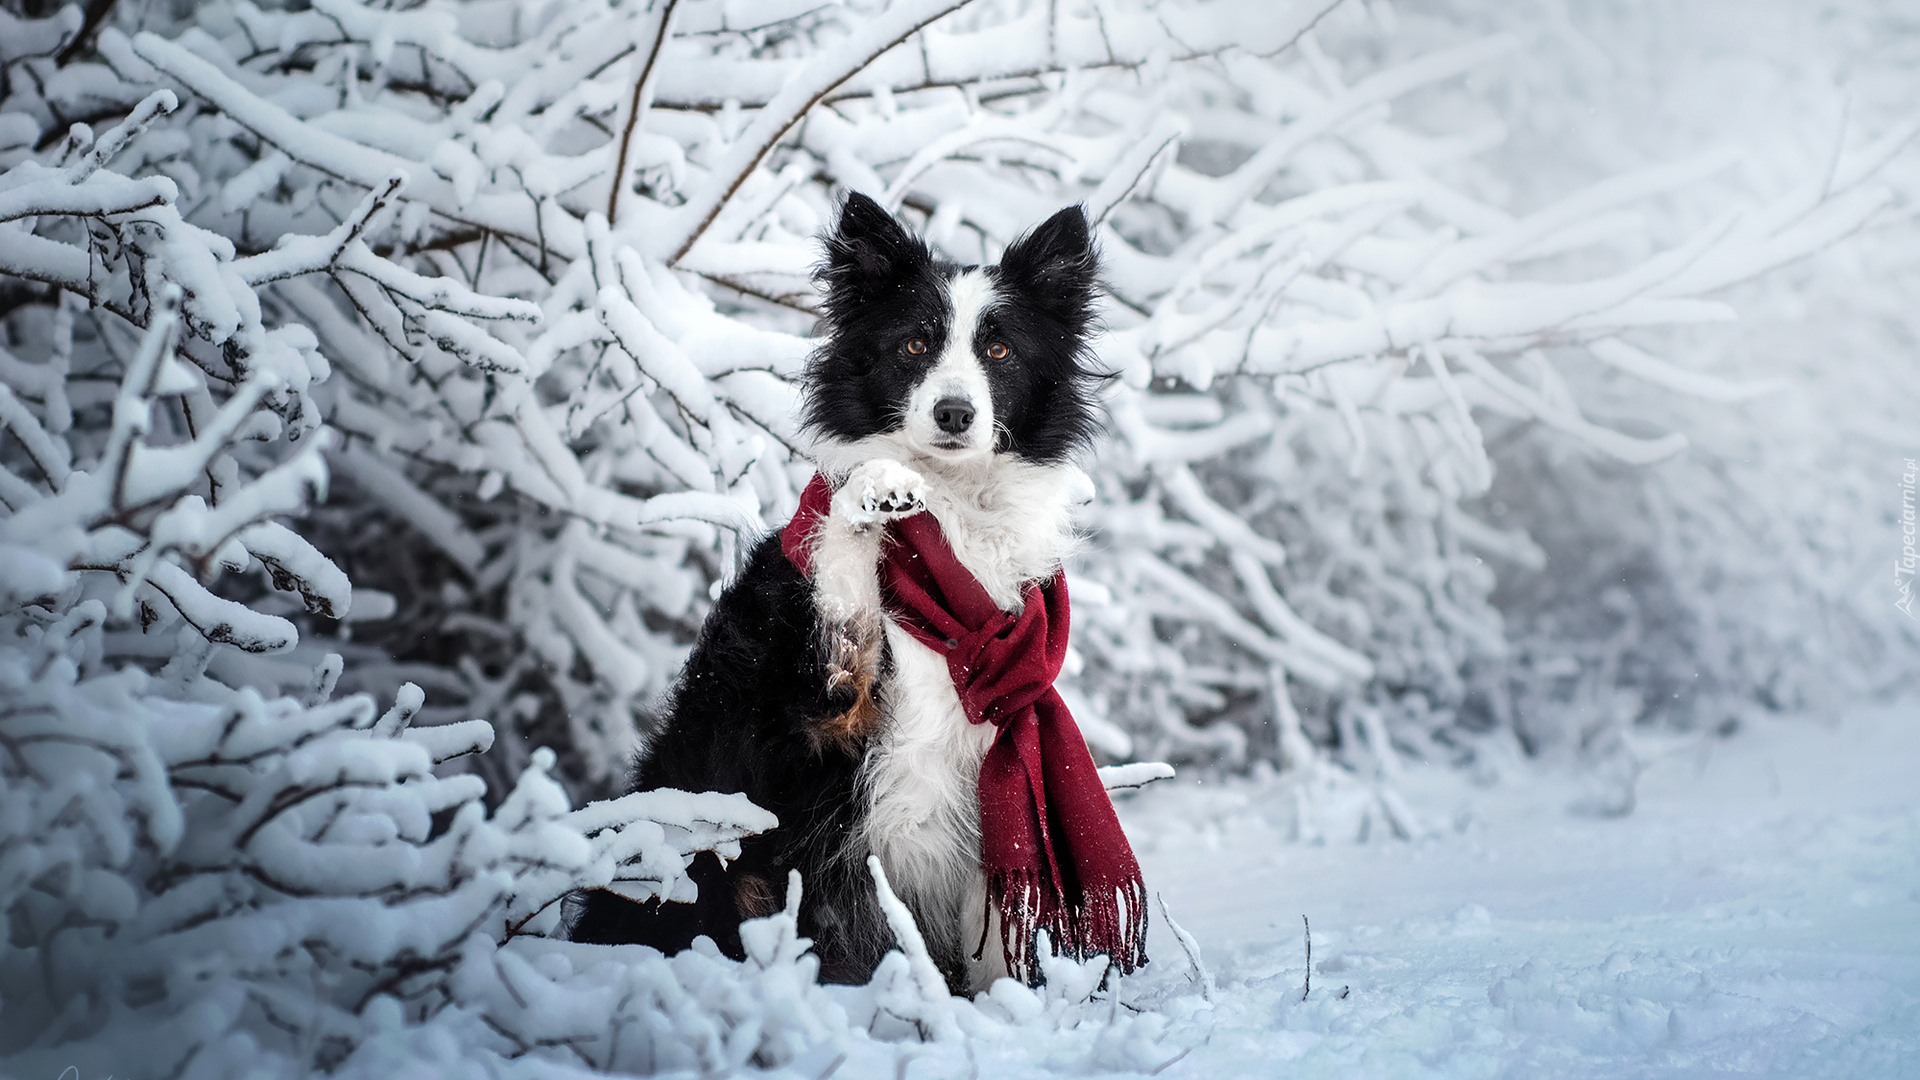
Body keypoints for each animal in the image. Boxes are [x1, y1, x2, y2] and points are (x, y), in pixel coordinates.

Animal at [568, 193, 1105, 991]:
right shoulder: (807, 732)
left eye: (1000, 352)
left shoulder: (994, 777)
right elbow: (843, 583)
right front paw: (873, 492)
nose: (954, 413)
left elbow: (994, 941)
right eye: (913, 345)